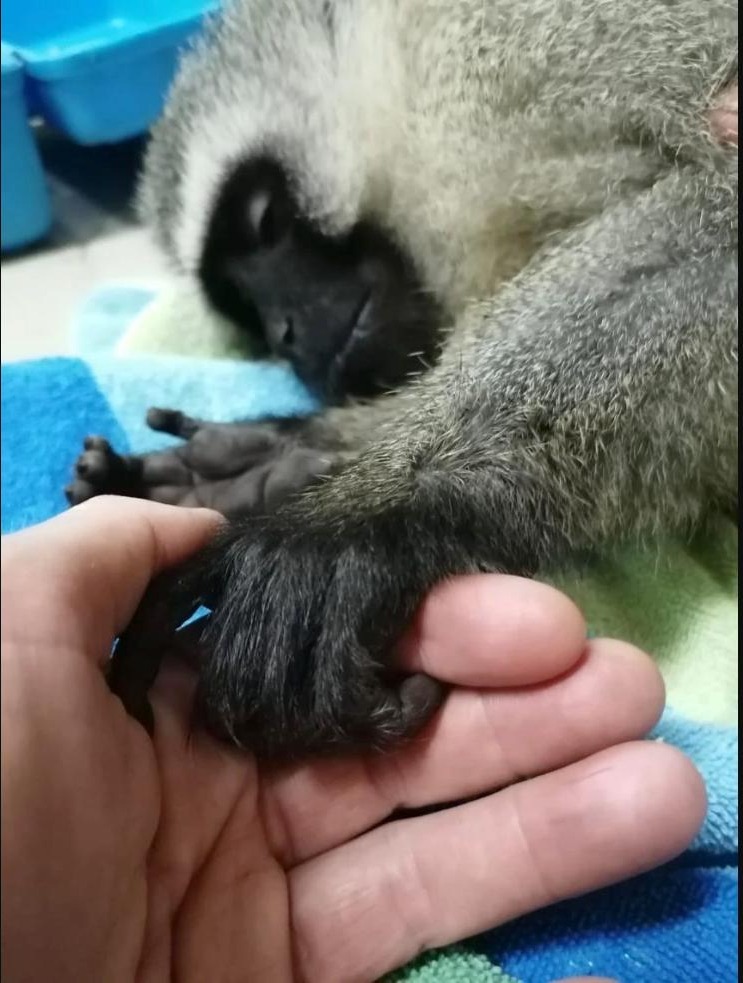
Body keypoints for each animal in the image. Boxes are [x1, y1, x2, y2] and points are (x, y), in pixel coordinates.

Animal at [65, 0, 738, 759]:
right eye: (245, 309)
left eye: (266, 222)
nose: (288, 335)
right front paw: (292, 455)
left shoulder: (562, 47)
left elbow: (723, 196)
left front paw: (365, 516)